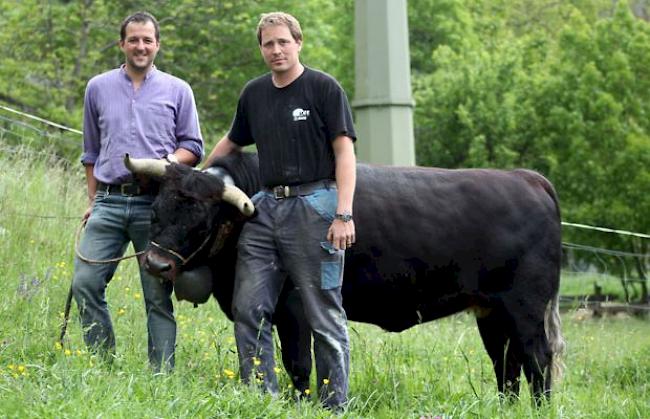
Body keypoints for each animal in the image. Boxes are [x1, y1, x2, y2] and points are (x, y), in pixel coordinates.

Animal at [125, 153, 560, 402]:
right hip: (491, 313)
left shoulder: (295, 307)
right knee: (506, 366)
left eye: (201, 222)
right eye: (157, 210)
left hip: (524, 310)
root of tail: (526, 178)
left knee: (537, 362)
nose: (157, 265)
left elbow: (298, 361)